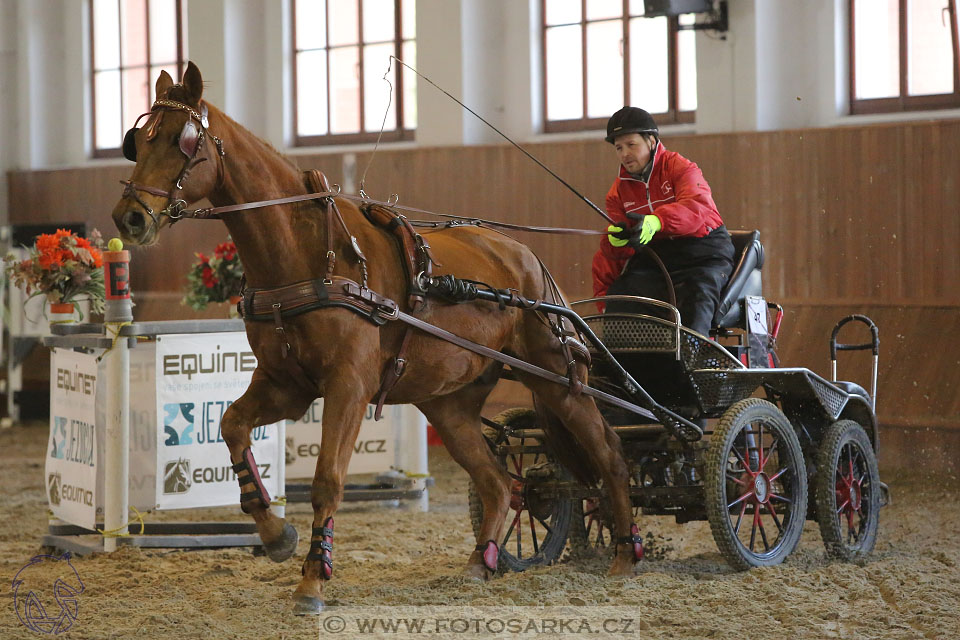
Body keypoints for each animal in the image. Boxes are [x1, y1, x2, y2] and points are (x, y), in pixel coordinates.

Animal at [110, 63, 636, 616]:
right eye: (137, 141)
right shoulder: (286, 385)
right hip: (449, 403)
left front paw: (313, 578)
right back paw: (481, 561)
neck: (305, 252)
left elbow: (327, 479)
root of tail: (528, 258)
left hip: (558, 379)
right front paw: (276, 535)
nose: (130, 217)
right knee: (497, 481)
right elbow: (232, 425)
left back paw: (625, 554)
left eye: (183, 140)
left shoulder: (349, 386)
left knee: (610, 454)